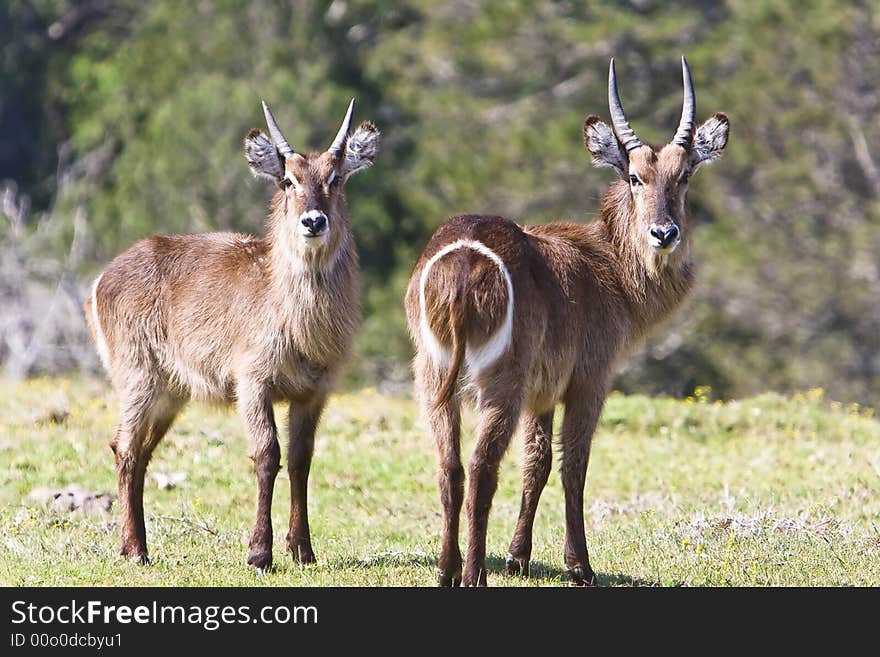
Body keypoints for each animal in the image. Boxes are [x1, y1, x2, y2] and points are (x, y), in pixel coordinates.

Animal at [83, 97, 382, 568]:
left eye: (335, 179)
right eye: (288, 180)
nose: (313, 221)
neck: (296, 322)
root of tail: (103, 277)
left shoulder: (314, 391)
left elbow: (301, 459)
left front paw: (303, 550)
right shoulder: (253, 382)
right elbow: (267, 455)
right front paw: (260, 552)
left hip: (171, 391)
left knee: (142, 450)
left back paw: (138, 545)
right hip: (138, 377)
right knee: (124, 447)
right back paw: (135, 550)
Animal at [406, 59, 728, 588]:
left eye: (683, 176)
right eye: (635, 177)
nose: (664, 233)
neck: (609, 263)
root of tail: (465, 257)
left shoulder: (541, 394)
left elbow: (535, 463)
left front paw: (518, 557)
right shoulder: (588, 379)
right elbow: (573, 464)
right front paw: (579, 565)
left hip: (432, 375)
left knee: (449, 467)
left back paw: (447, 570)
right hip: (501, 382)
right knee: (481, 467)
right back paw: (474, 573)